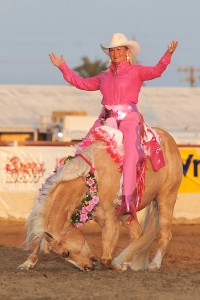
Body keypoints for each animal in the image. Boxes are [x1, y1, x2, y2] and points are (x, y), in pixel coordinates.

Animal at [18, 126, 183, 272]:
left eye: (66, 253)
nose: (88, 268)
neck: (93, 178)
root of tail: (169, 141)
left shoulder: (110, 221)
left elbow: (105, 258)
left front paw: (115, 265)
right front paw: (27, 263)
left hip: (166, 198)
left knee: (165, 234)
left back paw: (154, 264)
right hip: (128, 214)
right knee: (137, 234)